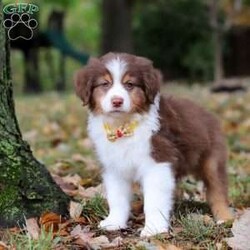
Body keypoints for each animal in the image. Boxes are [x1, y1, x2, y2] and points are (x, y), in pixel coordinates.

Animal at [73, 52, 232, 236]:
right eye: (105, 84)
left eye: (130, 84)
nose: (117, 101)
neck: (123, 126)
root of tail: (208, 113)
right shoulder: (114, 167)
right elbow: (116, 197)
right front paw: (114, 222)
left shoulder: (158, 163)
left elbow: (154, 200)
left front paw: (153, 229)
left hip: (212, 158)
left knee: (218, 189)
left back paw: (225, 218)